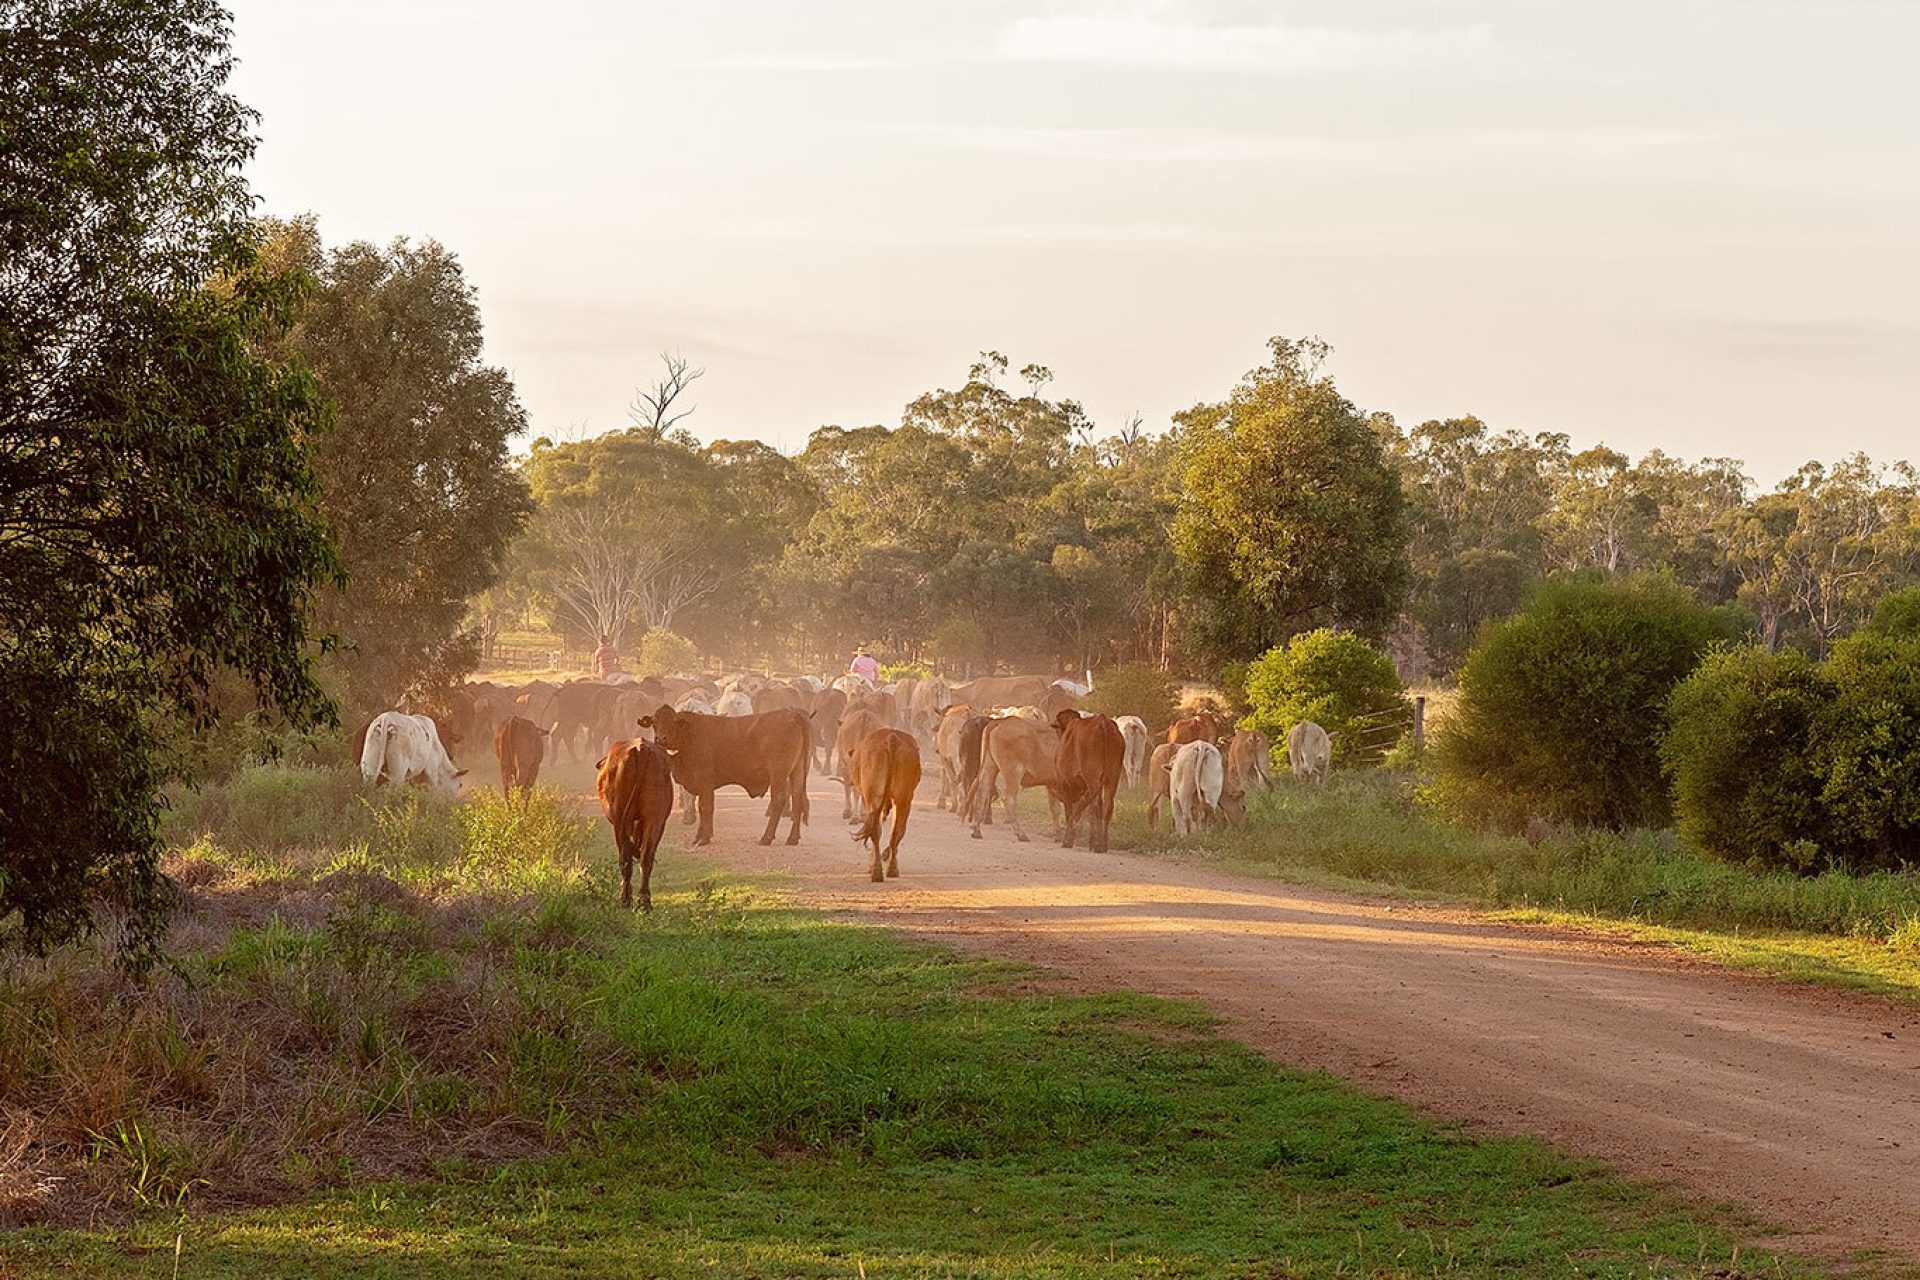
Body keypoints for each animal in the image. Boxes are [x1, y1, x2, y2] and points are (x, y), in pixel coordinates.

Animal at [591, 740, 675, 909]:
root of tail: (640, 748)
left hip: (620, 820)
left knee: (625, 858)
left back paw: (625, 898)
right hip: (653, 819)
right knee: (646, 857)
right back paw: (644, 902)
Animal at [633, 706, 806, 844]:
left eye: (673, 722)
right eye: (654, 723)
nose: (661, 739)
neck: (689, 734)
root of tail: (792, 714)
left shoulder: (704, 782)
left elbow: (705, 807)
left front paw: (703, 838)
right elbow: (705, 808)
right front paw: (702, 836)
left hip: (778, 774)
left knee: (779, 800)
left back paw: (766, 838)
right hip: (797, 771)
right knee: (798, 799)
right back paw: (793, 838)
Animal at [848, 729, 921, 882]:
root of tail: (891, 738)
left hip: (873, 797)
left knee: (875, 831)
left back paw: (876, 871)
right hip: (904, 798)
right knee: (896, 832)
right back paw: (892, 869)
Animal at [1052, 710, 1121, 852]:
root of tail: (1102, 722)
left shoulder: (1065, 782)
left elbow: (1069, 810)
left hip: (1093, 779)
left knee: (1089, 806)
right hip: (1112, 778)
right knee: (1106, 807)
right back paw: (1102, 844)